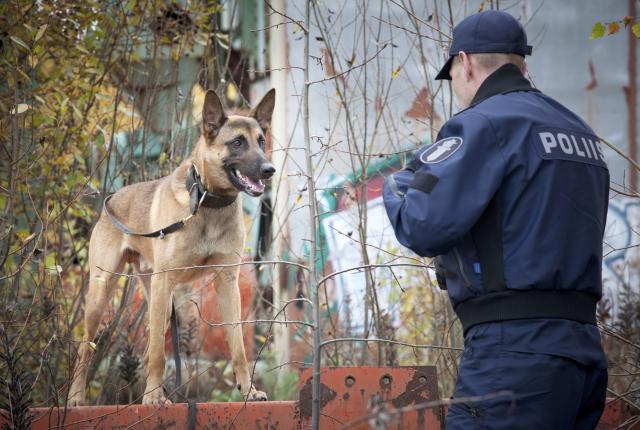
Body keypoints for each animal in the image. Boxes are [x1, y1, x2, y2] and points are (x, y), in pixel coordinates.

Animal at [69, 89, 276, 404]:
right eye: (238, 142)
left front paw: (248, 390)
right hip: (104, 294)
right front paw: (154, 399)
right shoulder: (165, 280)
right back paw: (78, 397)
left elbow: (239, 348)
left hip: (161, 303)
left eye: (262, 141)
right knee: (87, 349)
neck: (206, 201)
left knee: (148, 349)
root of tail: (112, 199)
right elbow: (158, 353)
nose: (269, 169)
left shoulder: (227, 283)